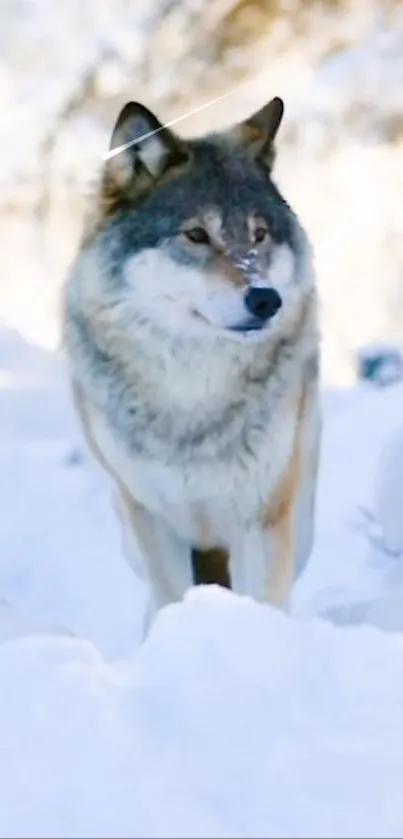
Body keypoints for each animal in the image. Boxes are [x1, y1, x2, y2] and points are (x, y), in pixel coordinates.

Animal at [63, 95, 322, 632]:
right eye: (197, 235)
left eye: (259, 235)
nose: (266, 300)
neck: (193, 398)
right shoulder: (152, 518)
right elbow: (171, 597)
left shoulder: (264, 516)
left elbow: (265, 603)